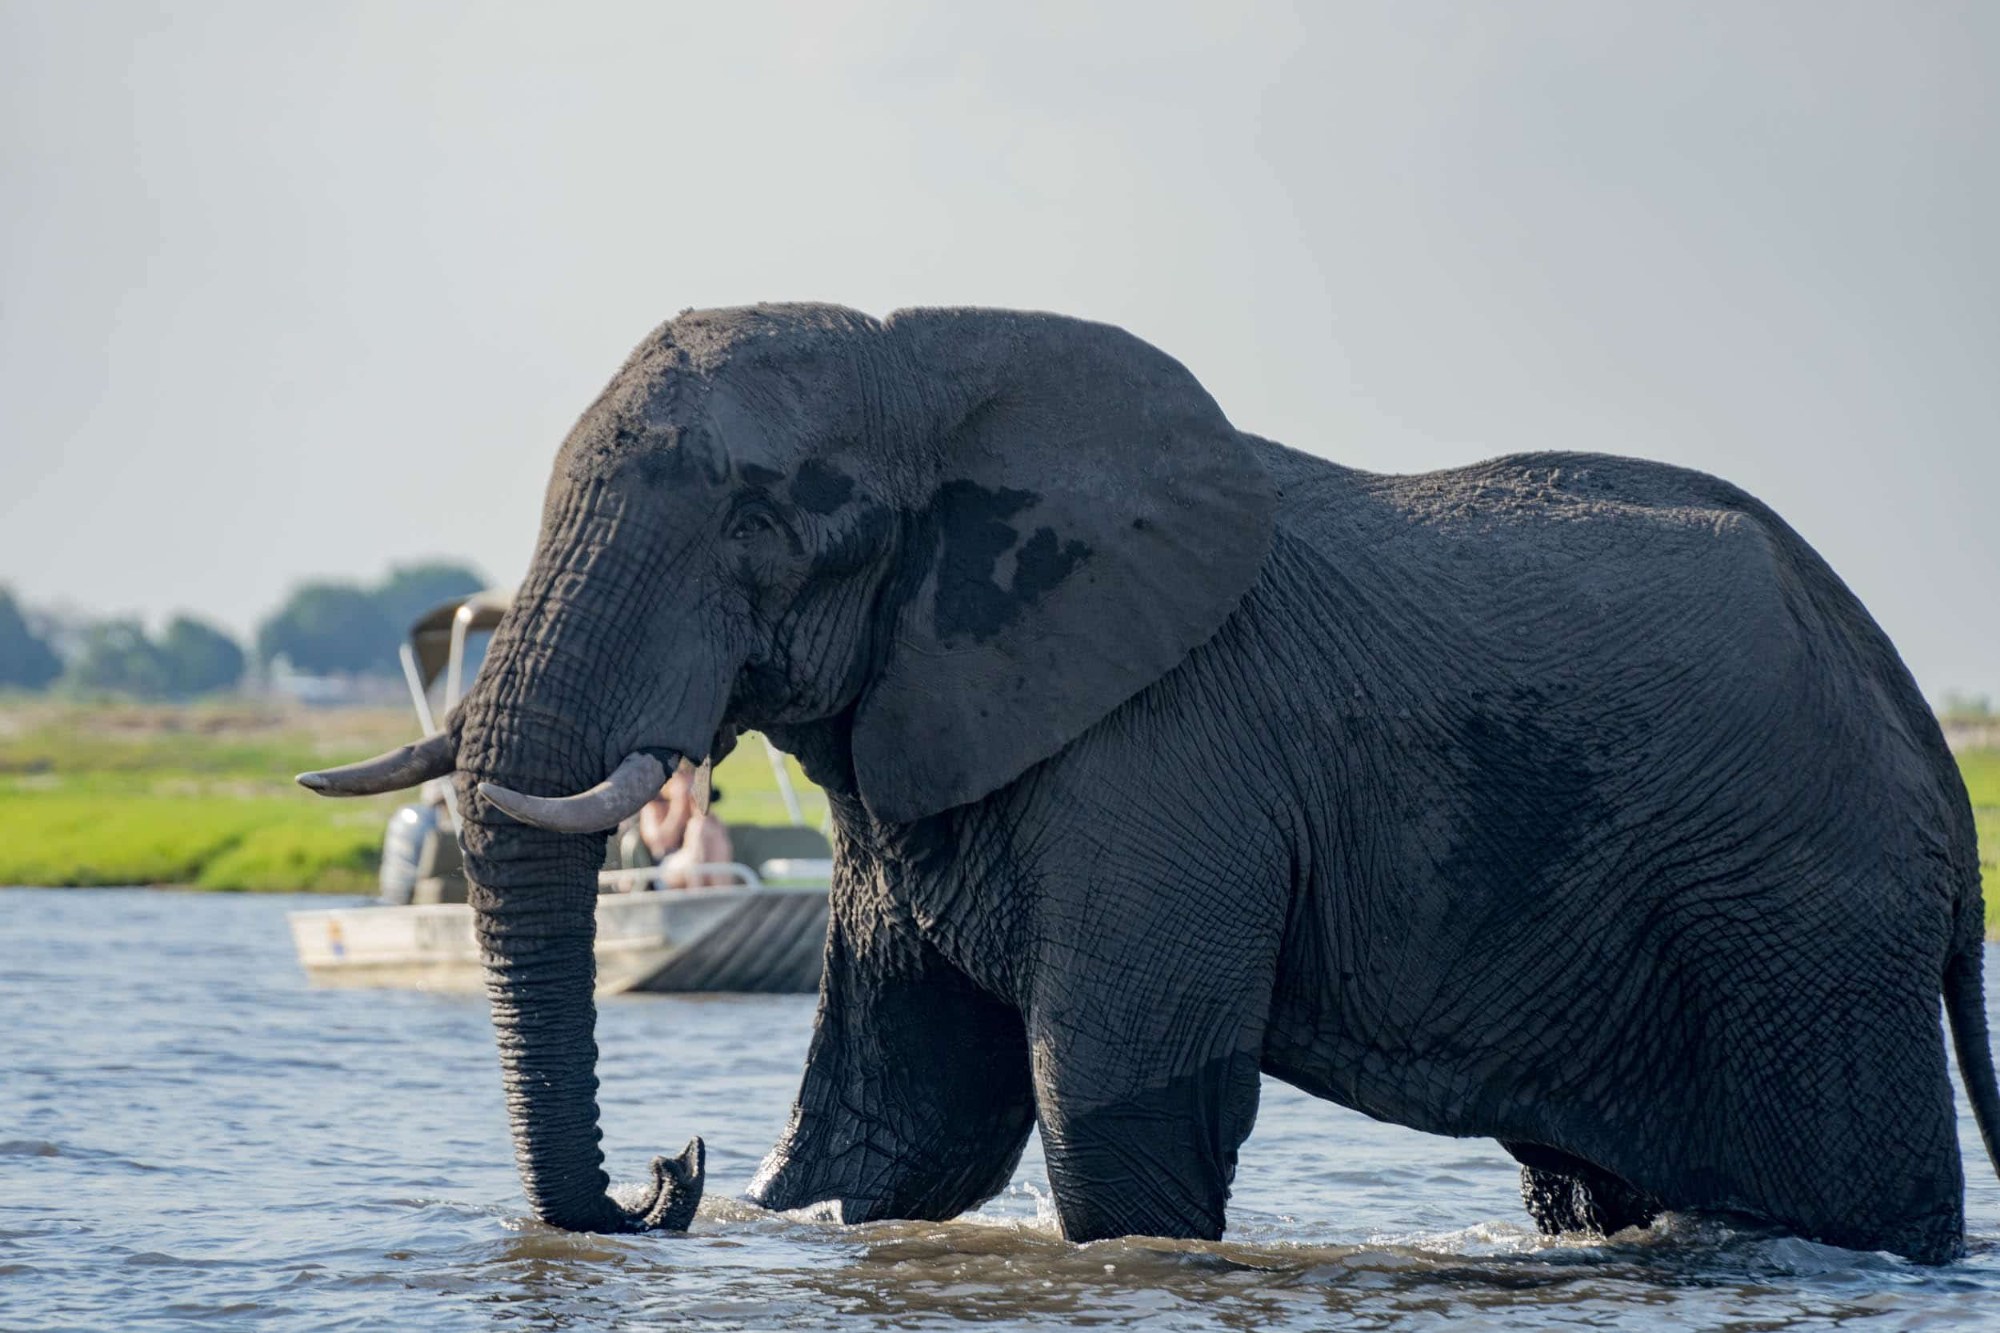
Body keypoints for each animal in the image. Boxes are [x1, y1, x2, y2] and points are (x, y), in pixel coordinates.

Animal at [301, 303, 1998, 1264]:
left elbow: (1117, 1107)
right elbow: (897, 1127)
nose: (670, 1175)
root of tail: (1927, 738)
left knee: (1857, 1186)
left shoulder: (1169, 752)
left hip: (1808, 924)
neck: (937, 361)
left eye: (765, 529)